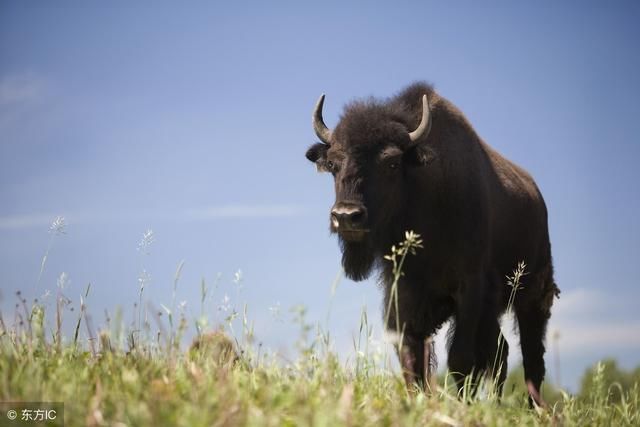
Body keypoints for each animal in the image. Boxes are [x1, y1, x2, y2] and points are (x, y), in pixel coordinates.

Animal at [304, 82, 560, 406]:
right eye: (333, 164)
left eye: (391, 162)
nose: (346, 216)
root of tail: (537, 197)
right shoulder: (403, 296)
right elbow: (411, 357)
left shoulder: (469, 290)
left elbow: (461, 359)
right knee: (501, 353)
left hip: (532, 296)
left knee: (531, 358)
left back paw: (534, 409)